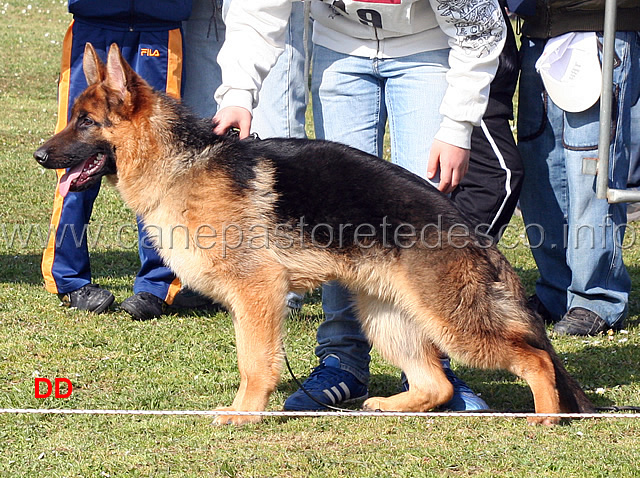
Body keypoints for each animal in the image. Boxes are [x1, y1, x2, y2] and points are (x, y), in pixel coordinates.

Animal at [35, 44, 596, 426]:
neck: (183, 162)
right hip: (385, 316)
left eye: (86, 123)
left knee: (535, 358)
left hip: (452, 323)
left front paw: (245, 414)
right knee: (436, 383)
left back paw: (546, 417)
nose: (39, 156)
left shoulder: (257, 295)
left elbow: (254, 364)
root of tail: (473, 233)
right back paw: (393, 405)